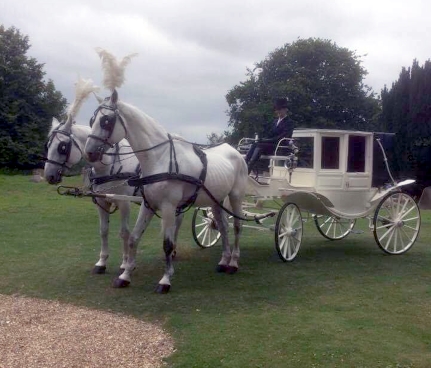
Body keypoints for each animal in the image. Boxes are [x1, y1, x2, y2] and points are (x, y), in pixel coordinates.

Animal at [84, 87, 248, 292]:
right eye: (92, 121)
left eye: (106, 121)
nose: (89, 152)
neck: (159, 159)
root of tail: (236, 152)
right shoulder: (148, 204)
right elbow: (133, 238)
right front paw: (125, 275)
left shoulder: (169, 207)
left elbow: (167, 245)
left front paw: (165, 280)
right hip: (216, 200)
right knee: (223, 227)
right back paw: (223, 261)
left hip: (235, 196)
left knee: (237, 226)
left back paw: (233, 263)